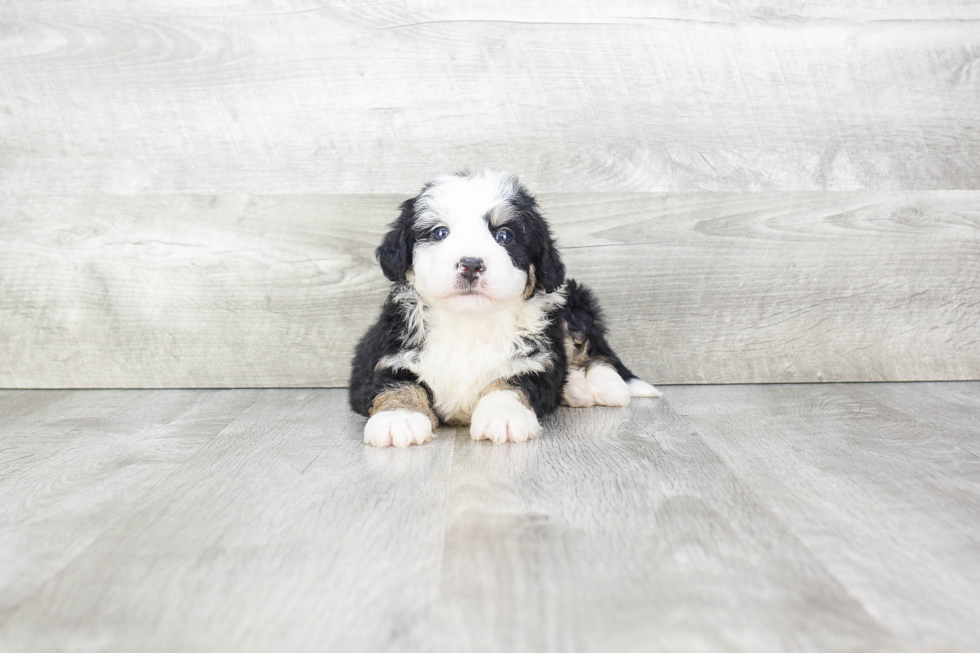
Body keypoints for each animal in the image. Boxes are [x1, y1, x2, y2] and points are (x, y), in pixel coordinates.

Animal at [348, 168, 664, 446]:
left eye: (504, 236)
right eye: (439, 233)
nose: (471, 264)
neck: (468, 323)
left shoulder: (533, 363)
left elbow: (511, 384)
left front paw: (503, 416)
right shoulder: (386, 354)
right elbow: (396, 384)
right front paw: (398, 418)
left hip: (572, 303)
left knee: (592, 348)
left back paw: (602, 385)